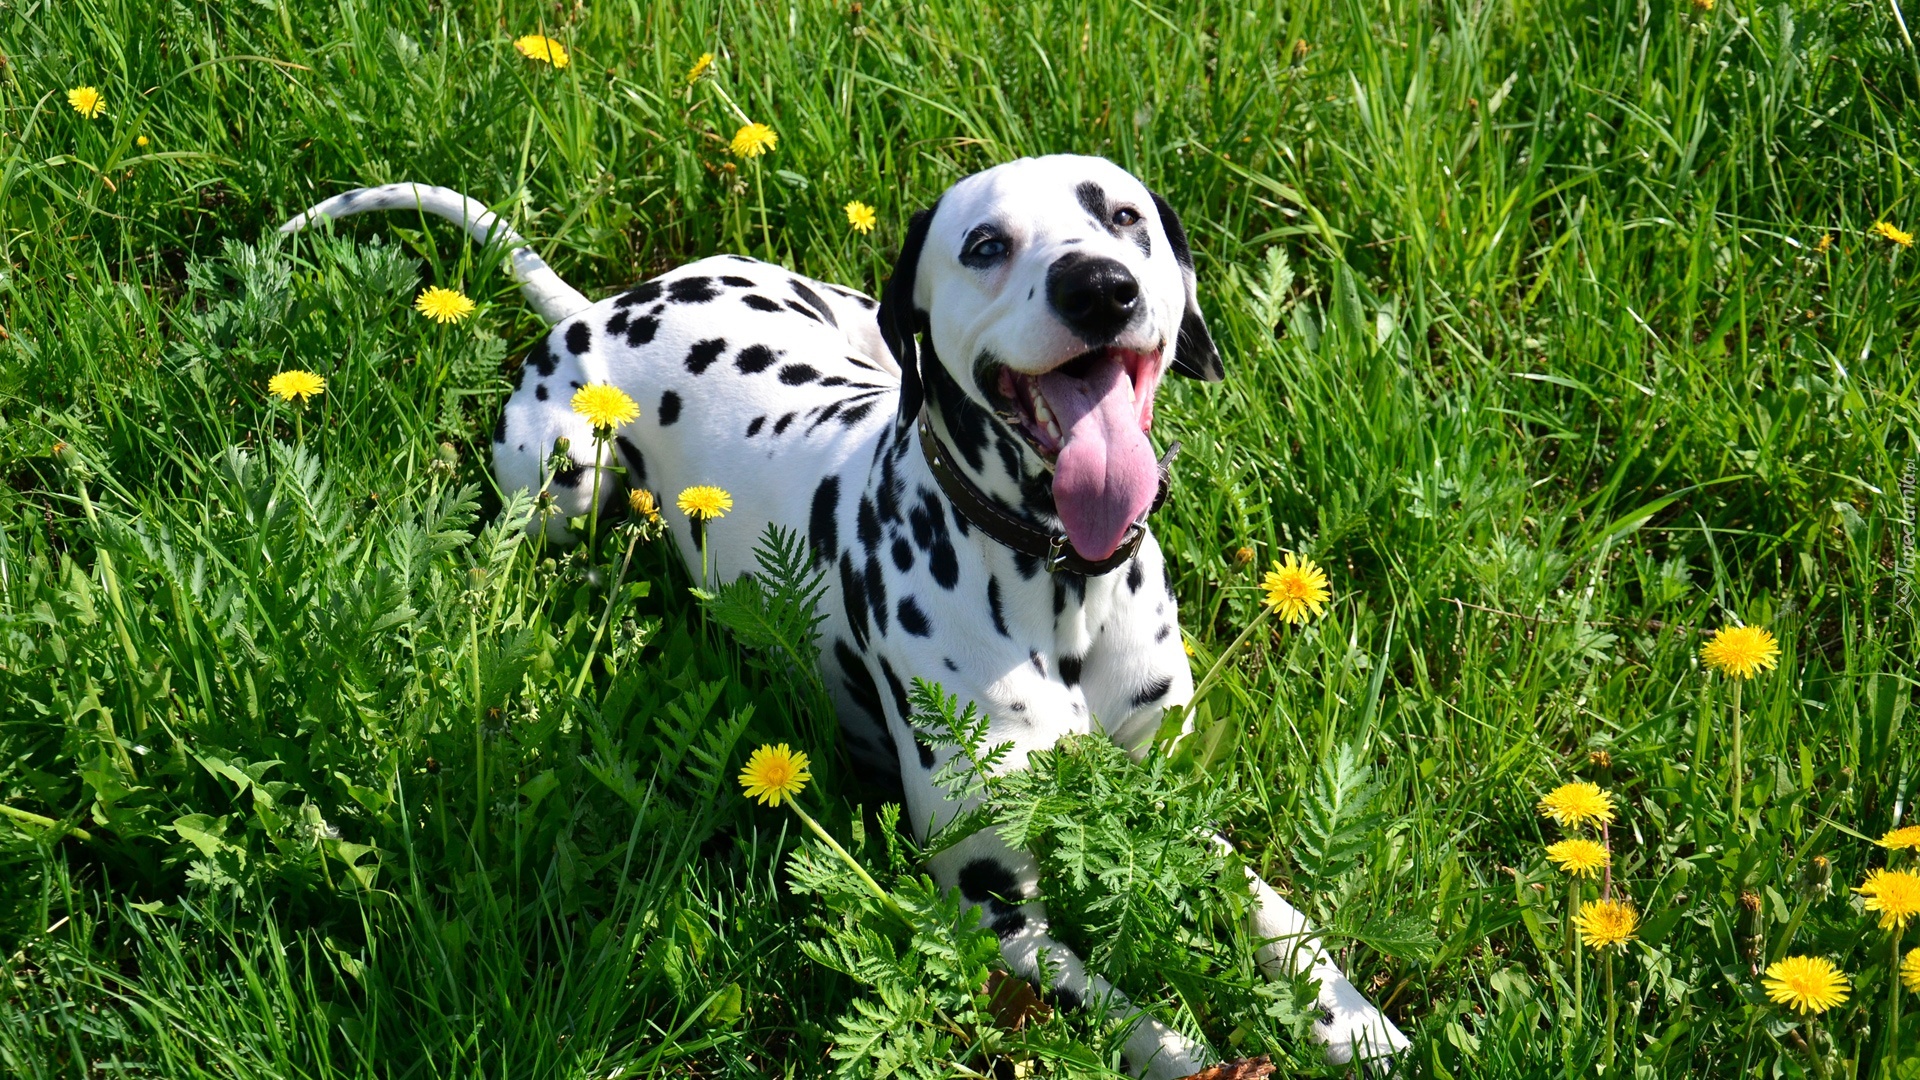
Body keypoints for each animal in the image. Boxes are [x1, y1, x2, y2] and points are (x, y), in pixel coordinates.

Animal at [291, 155, 1420, 1068]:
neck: (1063, 582)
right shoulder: (988, 907)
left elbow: (1277, 915)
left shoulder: (1165, 796)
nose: (1101, 285)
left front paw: (1357, 1023)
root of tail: (597, 309)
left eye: (1123, 215)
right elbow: (1138, 1022)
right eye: (985, 244)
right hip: (561, 486)